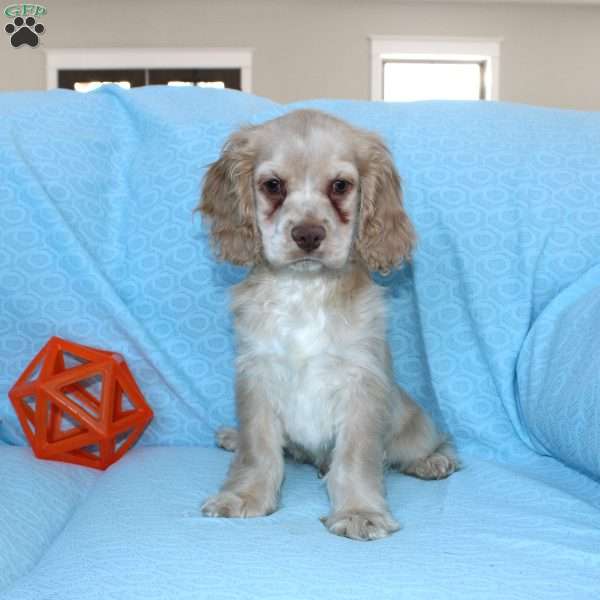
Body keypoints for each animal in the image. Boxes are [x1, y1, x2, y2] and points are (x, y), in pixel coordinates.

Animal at [199, 110, 458, 540]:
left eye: (340, 185)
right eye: (273, 185)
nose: (307, 234)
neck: (305, 290)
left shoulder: (360, 381)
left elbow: (355, 457)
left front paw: (359, 511)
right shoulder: (256, 374)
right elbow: (258, 448)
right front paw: (245, 495)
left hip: (412, 425)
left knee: (430, 441)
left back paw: (433, 461)